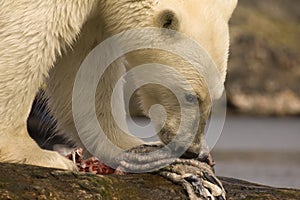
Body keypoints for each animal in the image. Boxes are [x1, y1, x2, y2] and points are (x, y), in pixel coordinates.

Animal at [0, 0, 237, 170]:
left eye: (215, 98)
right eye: (190, 96)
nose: (192, 149)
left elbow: (85, 63)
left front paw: (134, 150)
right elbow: (29, 36)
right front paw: (34, 154)